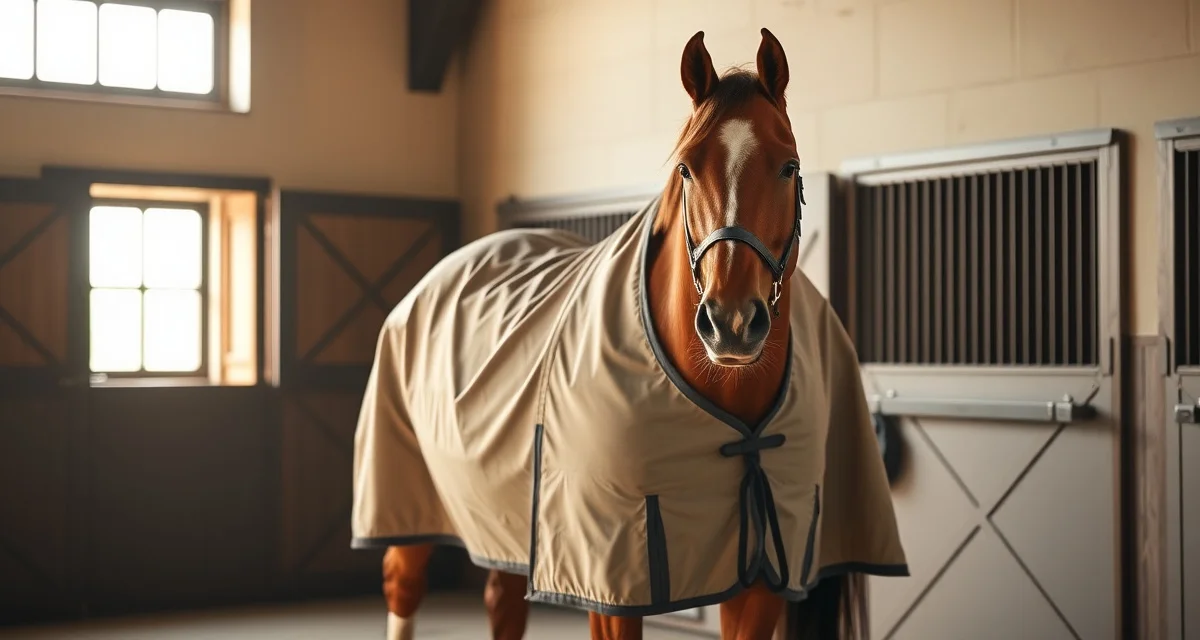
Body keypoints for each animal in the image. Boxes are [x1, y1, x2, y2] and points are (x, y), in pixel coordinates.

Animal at [351, 27, 907, 640]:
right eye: (687, 168)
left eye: (789, 166)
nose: (732, 324)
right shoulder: (609, 585)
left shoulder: (762, 579)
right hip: (408, 508)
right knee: (404, 588)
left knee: (504, 602)